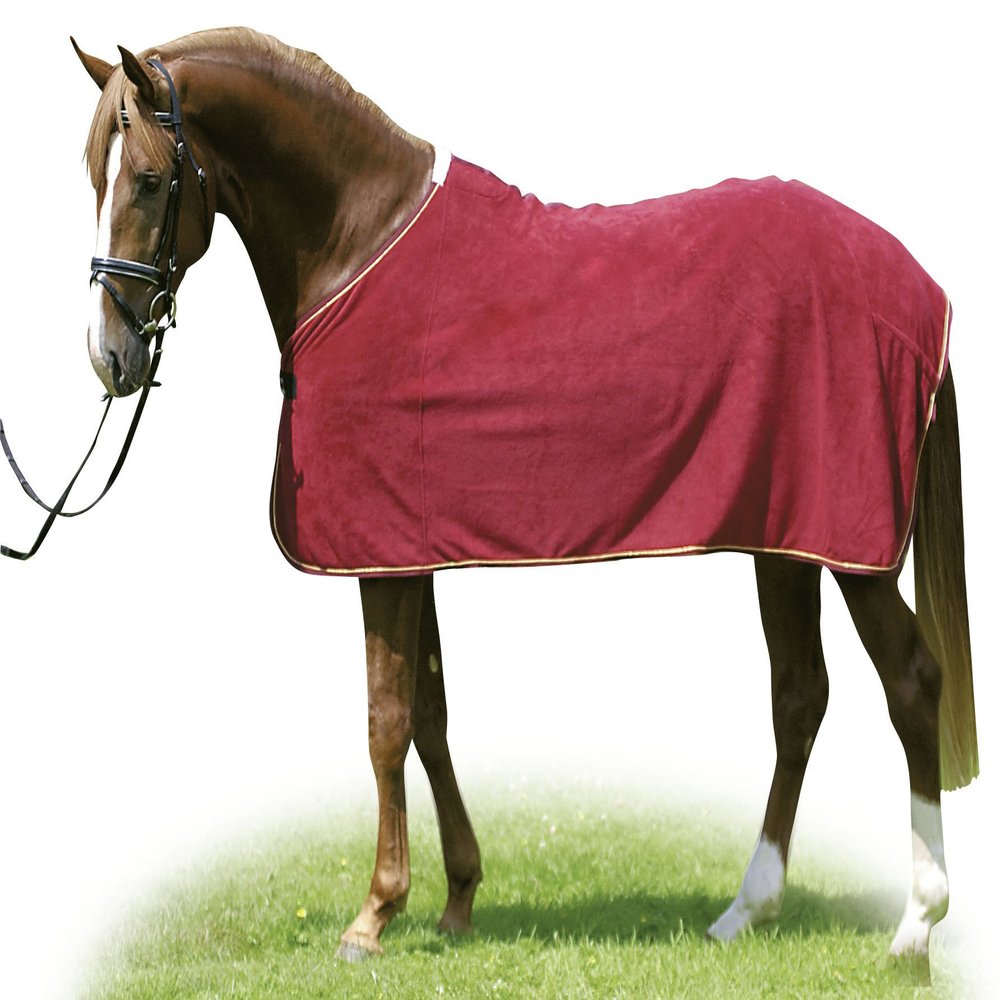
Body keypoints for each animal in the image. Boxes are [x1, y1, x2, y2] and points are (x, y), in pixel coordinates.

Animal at [71, 27, 976, 965]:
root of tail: (918, 287)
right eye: (91, 173)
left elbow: (387, 720)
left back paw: (916, 922)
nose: (109, 357)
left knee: (911, 682)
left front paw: (373, 915)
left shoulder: (381, 560)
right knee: (799, 696)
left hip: (855, 549)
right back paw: (746, 910)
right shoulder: (411, 547)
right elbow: (430, 712)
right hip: (786, 538)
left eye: (149, 180)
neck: (358, 243)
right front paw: (457, 898)